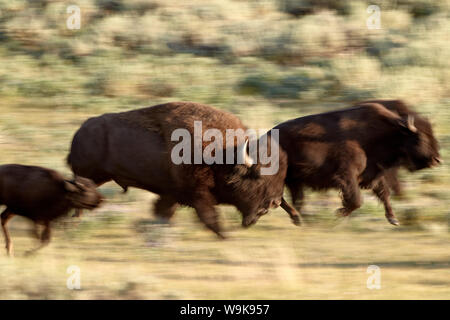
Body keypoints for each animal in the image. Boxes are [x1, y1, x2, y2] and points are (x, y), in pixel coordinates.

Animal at [67, 101, 298, 239]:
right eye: (257, 176)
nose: (274, 202)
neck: (222, 154)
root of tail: (80, 131)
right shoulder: (197, 193)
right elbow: (208, 215)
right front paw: (225, 235)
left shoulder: (172, 194)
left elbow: (164, 210)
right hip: (89, 176)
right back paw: (73, 223)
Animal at [274, 102, 440, 225]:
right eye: (420, 138)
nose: (437, 160)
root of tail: (269, 133)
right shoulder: (347, 175)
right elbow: (357, 200)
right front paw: (338, 214)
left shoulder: (373, 174)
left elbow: (384, 194)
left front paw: (393, 219)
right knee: (281, 198)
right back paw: (299, 218)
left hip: (294, 181)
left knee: (289, 199)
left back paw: (301, 219)